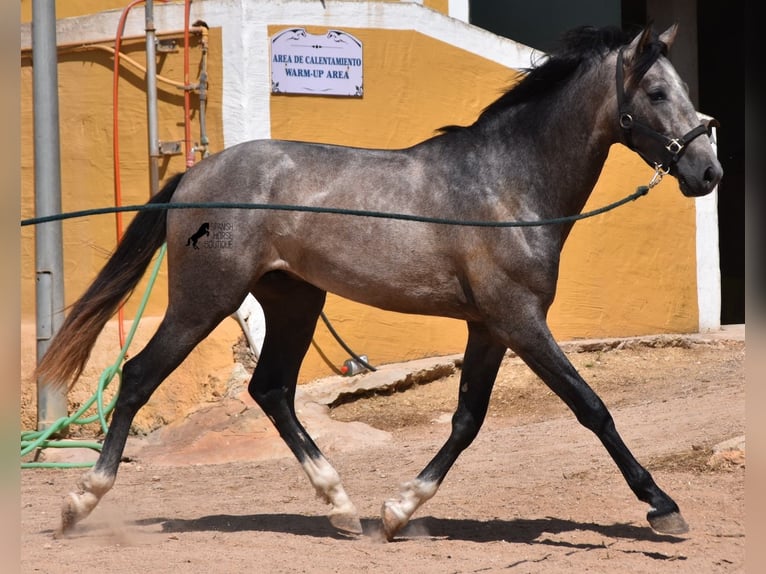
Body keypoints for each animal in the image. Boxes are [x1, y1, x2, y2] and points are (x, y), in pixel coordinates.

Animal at [39, 24, 728, 544]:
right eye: (658, 92)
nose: (709, 171)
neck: (506, 185)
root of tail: (193, 176)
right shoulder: (521, 321)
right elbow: (591, 407)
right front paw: (663, 506)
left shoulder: (489, 326)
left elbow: (467, 419)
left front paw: (397, 512)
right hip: (206, 300)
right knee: (138, 377)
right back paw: (80, 502)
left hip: (295, 300)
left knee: (272, 391)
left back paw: (343, 508)